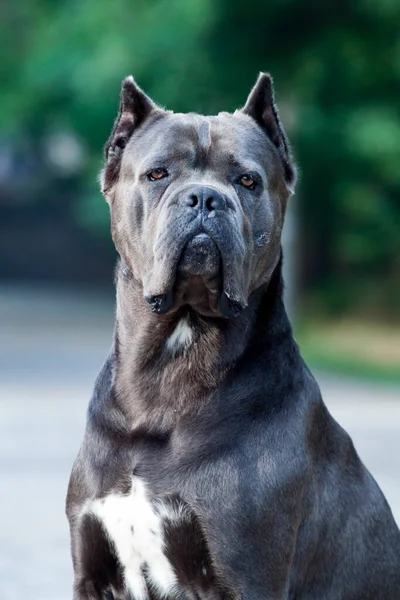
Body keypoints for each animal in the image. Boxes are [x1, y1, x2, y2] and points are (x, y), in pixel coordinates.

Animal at [66, 72, 400, 596]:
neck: (167, 372)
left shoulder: (245, 573)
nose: (205, 198)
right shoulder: (93, 572)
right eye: (157, 174)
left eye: (247, 181)